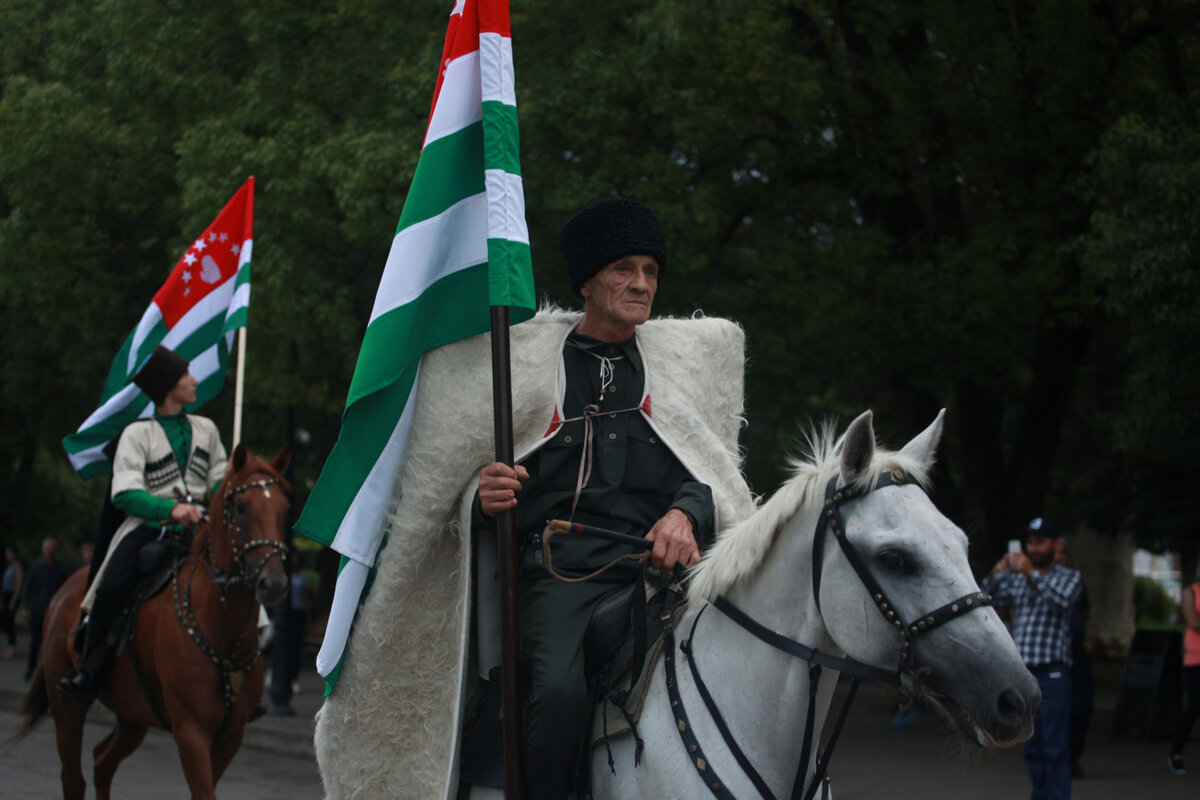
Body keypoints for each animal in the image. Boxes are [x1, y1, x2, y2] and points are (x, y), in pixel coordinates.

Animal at [11, 443, 290, 800]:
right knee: (73, 779)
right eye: (240, 507)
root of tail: (64, 590)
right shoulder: (191, 731)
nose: (274, 583)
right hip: (66, 706)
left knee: (102, 761)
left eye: (285, 508)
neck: (220, 627)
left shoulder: (231, 734)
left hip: (133, 714)